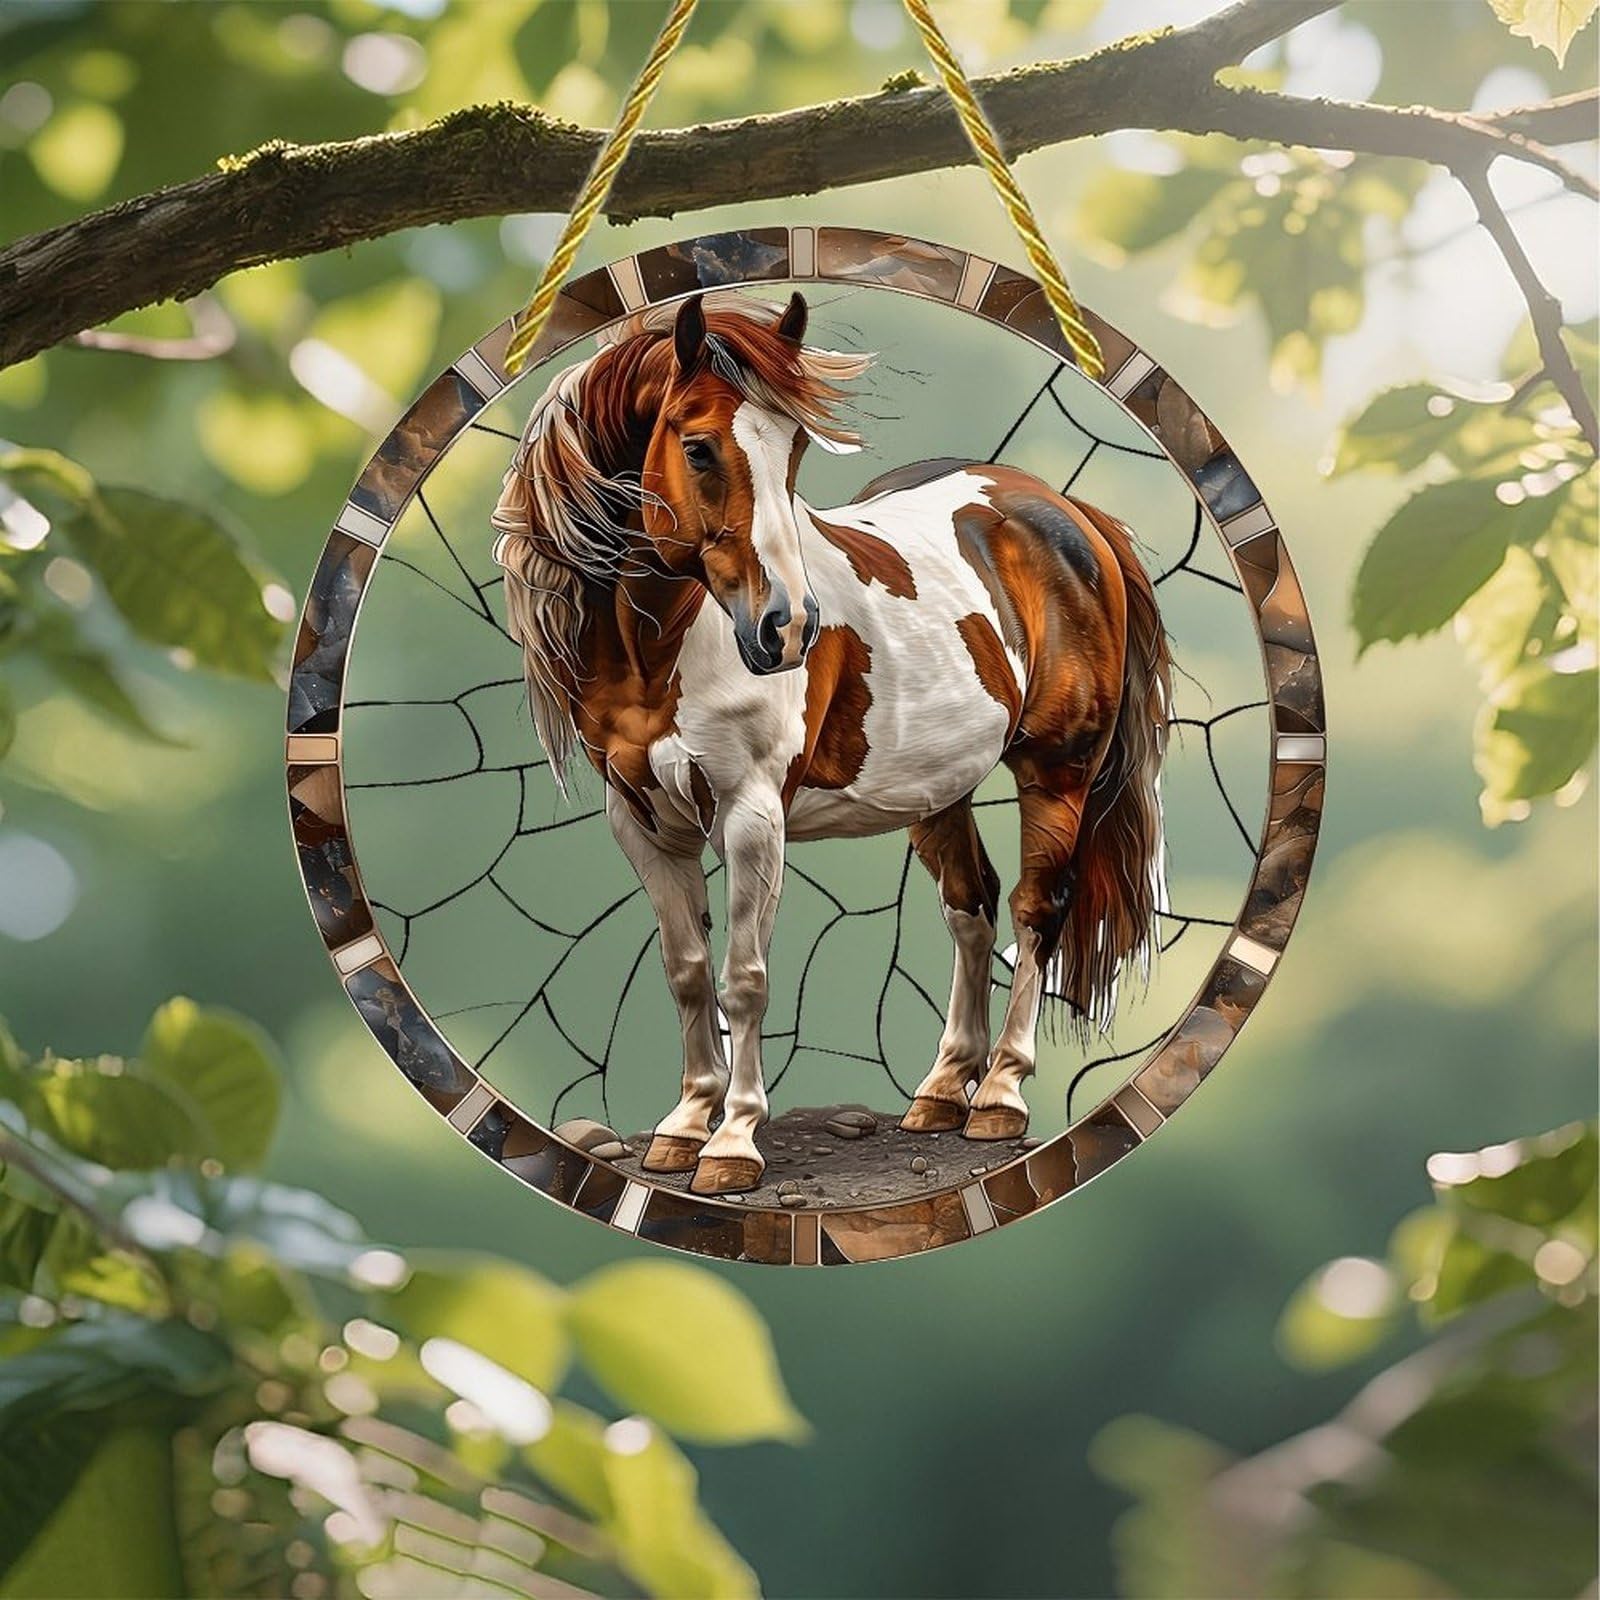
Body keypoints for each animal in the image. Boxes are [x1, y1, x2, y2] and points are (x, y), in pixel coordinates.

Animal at [492, 289, 1171, 1196]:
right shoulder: (640, 820)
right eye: (697, 446)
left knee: (1036, 912)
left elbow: (744, 979)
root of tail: (1068, 516)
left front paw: (734, 1141)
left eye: (796, 449)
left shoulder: (752, 819)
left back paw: (998, 1095)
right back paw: (941, 1092)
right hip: (937, 788)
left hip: (1057, 772)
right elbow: (687, 970)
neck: (663, 650)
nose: (788, 629)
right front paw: (685, 1126)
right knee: (972, 908)